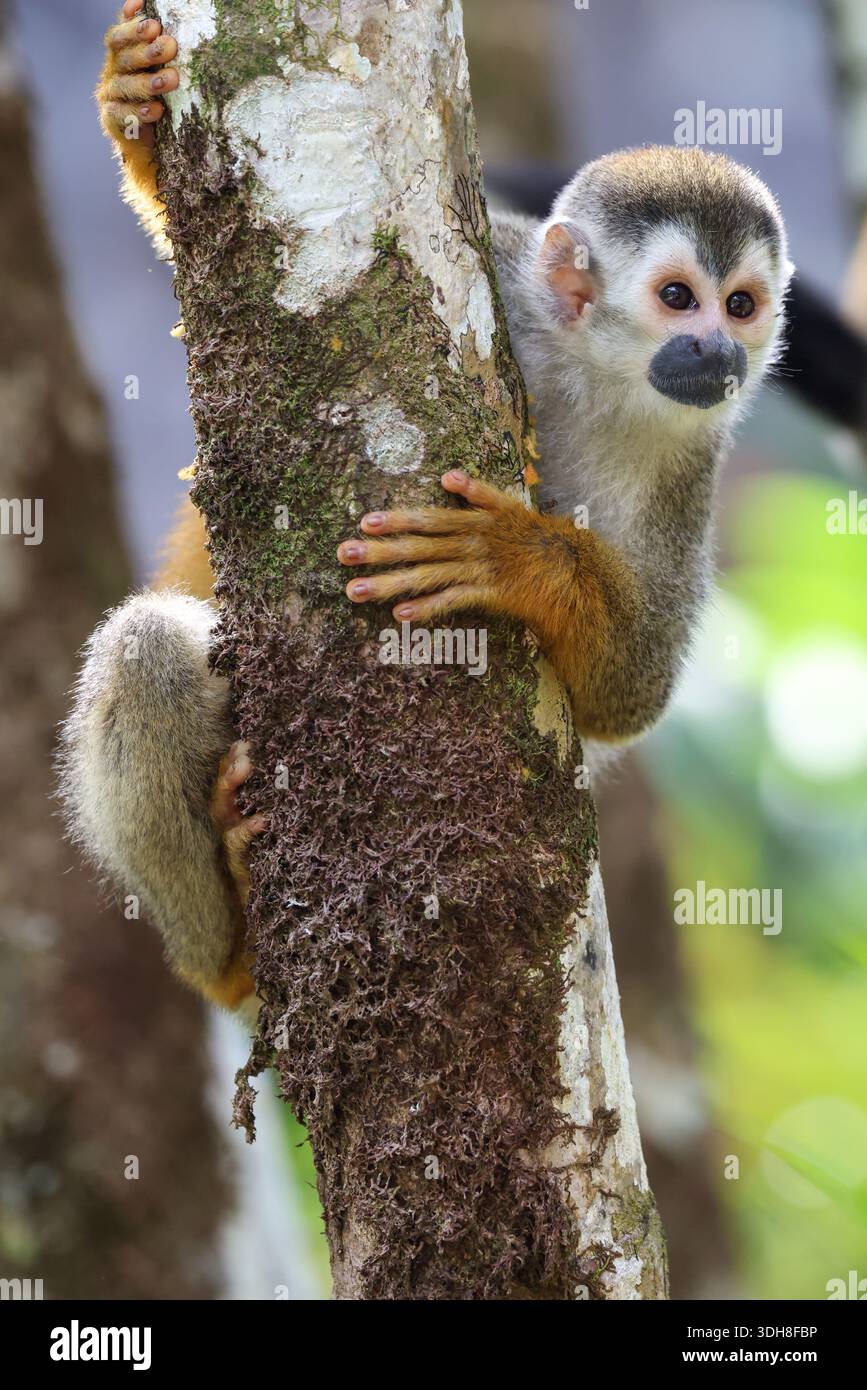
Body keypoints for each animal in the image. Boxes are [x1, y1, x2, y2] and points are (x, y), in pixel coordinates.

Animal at [62, 1, 791, 1010]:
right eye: (680, 298)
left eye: (743, 304)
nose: (719, 354)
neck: (588, 372)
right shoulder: (512, 273)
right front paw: (129, 102)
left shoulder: (690, 457)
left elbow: (629, 692)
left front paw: (513, 557)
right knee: (147, 646)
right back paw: (228, 943)